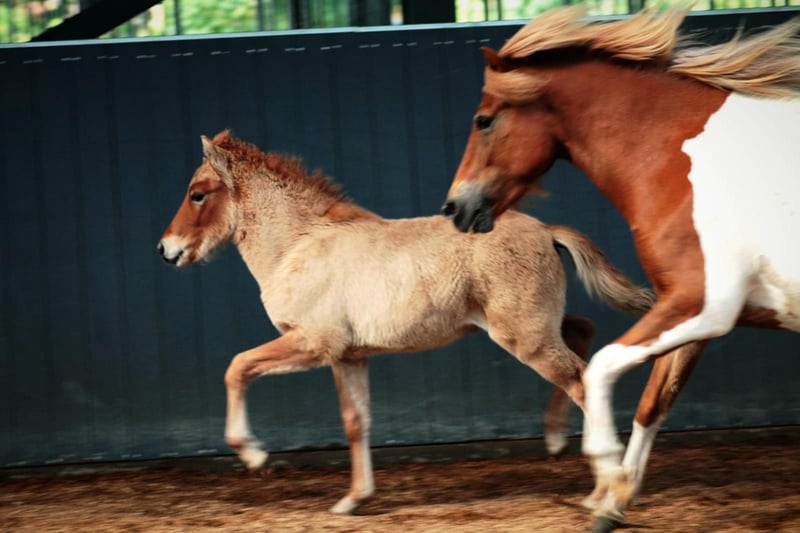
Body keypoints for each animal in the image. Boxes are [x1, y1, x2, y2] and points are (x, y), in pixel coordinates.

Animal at [158, 130, 656, 515]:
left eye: (197, 194)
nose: (166, 249)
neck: (298, 246)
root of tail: (547, 231)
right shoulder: (348, 356)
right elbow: (356, 420)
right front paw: (354, 500)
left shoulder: (314, 342)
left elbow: (238, 367)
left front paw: (253, 454)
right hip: (530, 325)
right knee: (582, 333)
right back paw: (556, 443)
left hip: (524, 335)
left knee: (582, 380)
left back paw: (601, 490)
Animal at [441, 6, 800, 532]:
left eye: (483, 120)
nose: (454, 209)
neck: (686, 163)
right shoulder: (695, 313)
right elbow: (653, 403)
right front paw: (612, 504)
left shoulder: (701, 304)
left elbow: (600, 368)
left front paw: (606, 474)